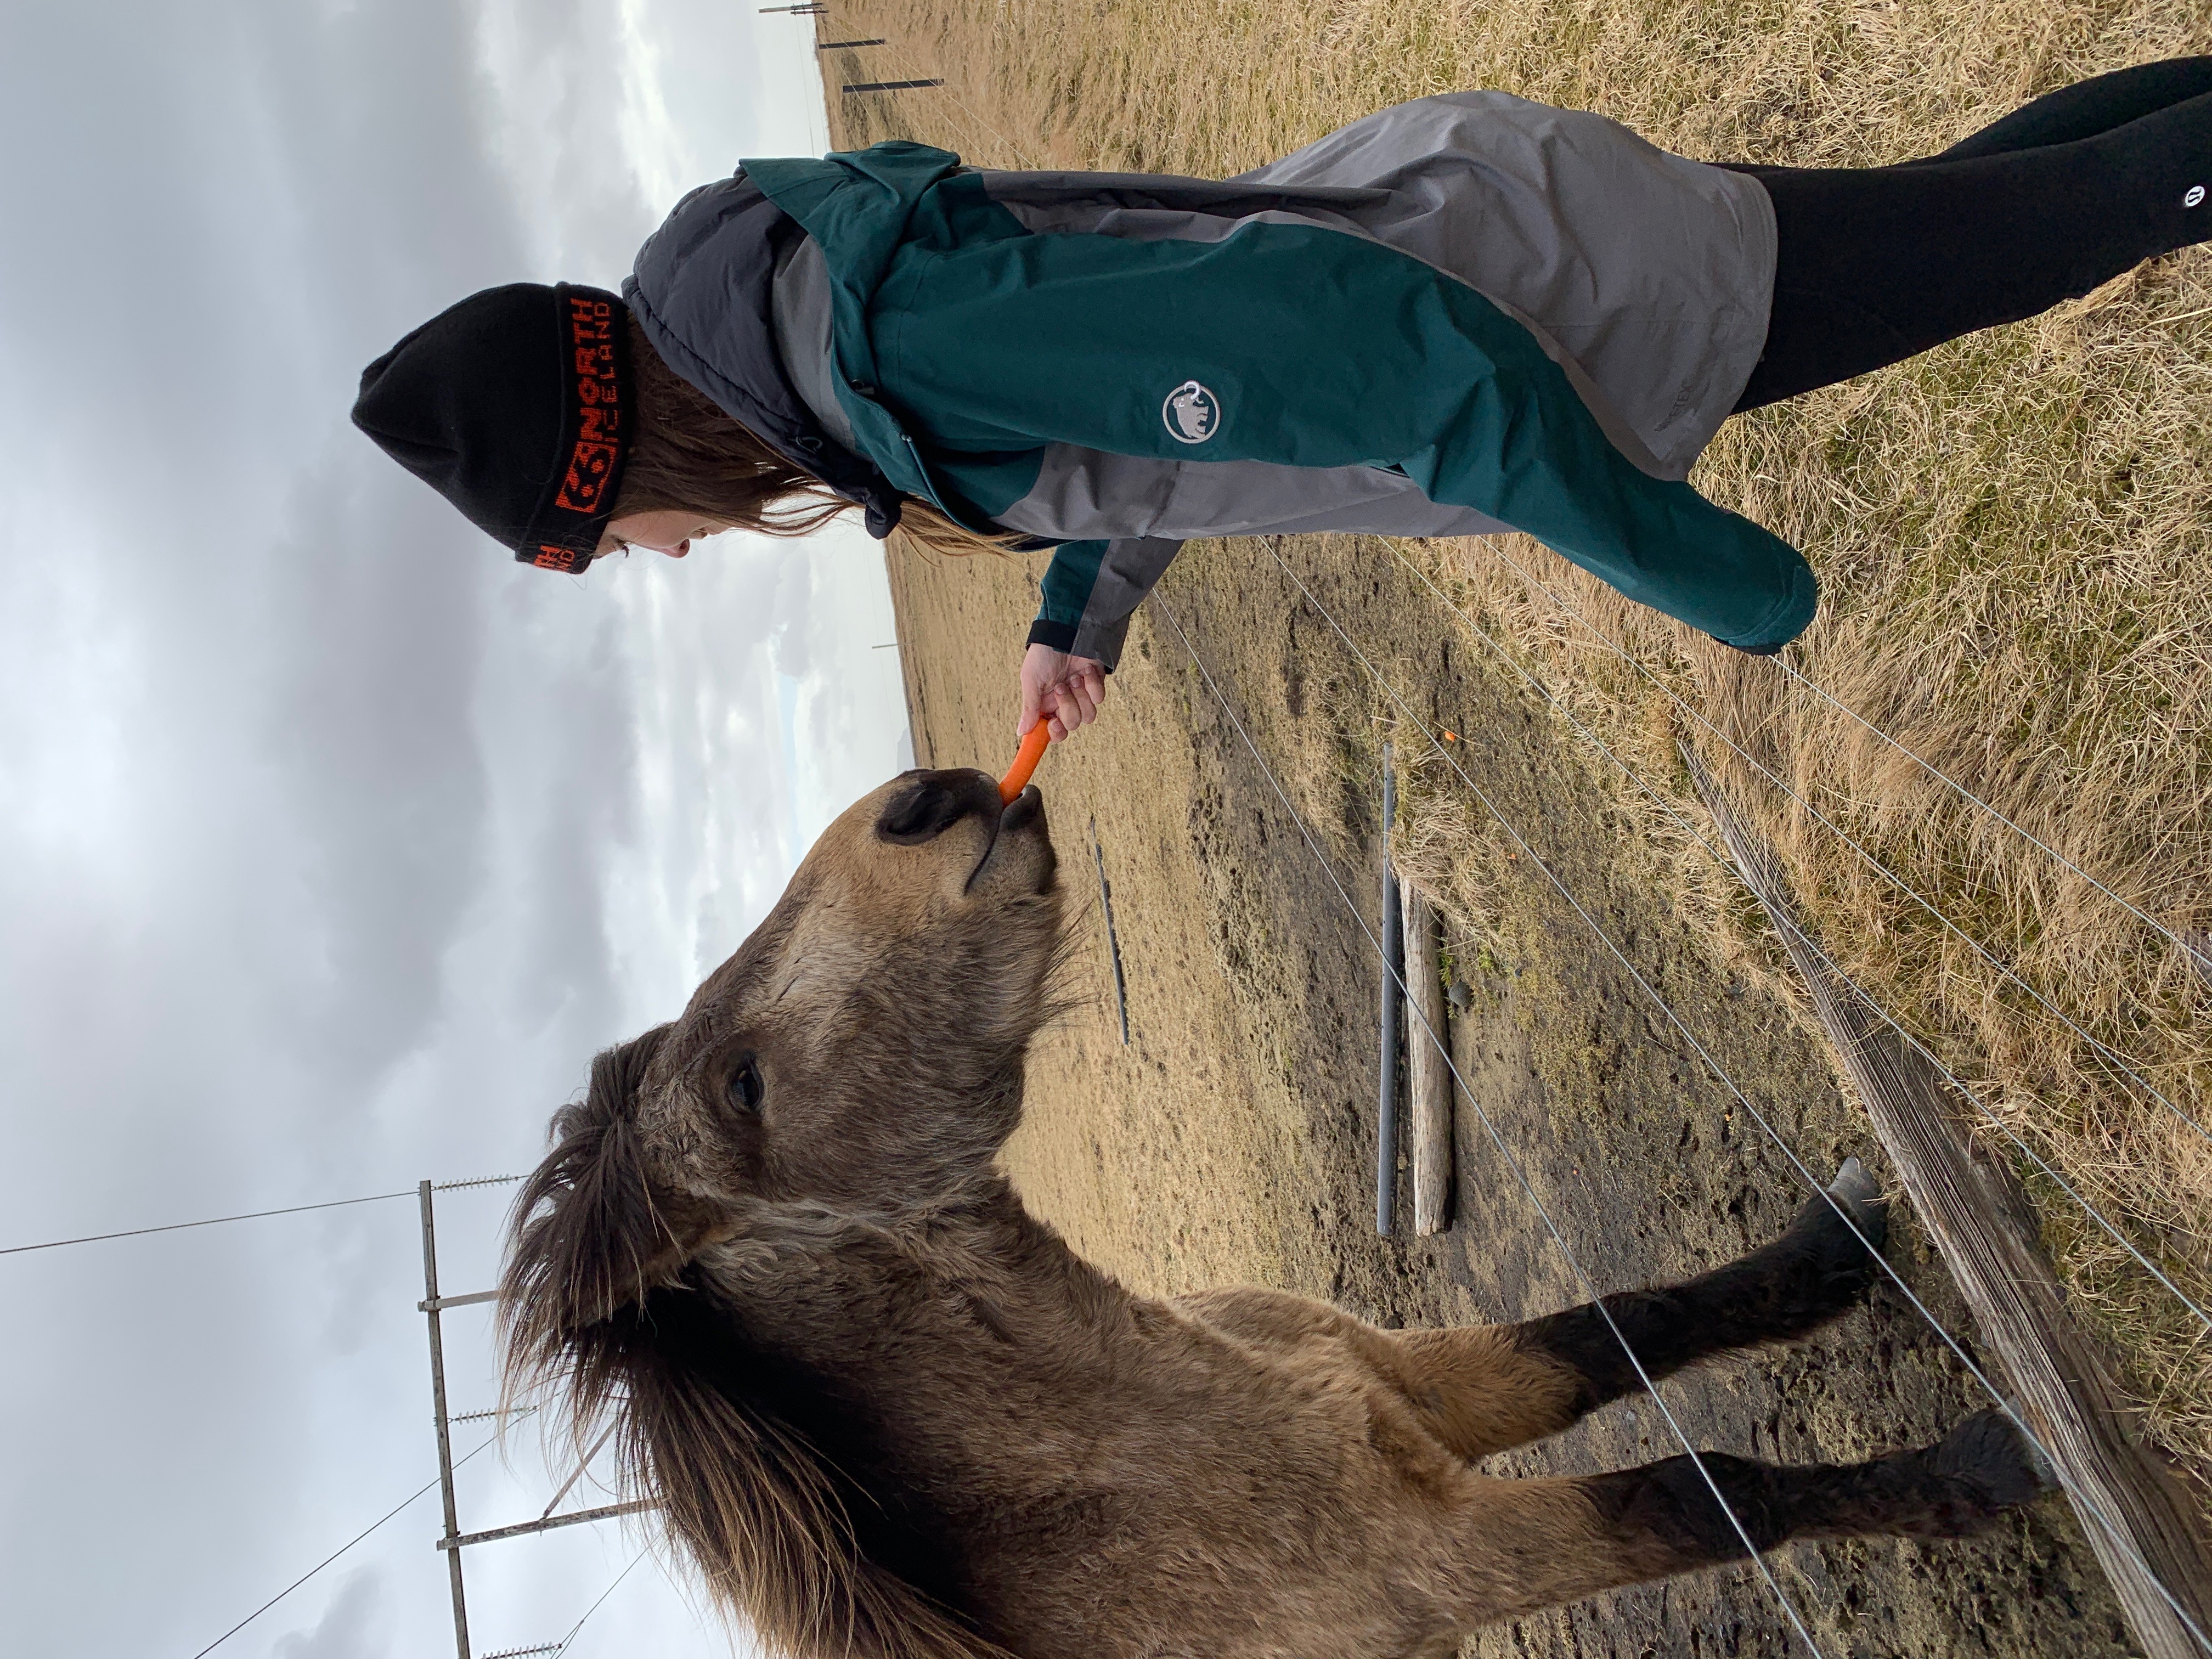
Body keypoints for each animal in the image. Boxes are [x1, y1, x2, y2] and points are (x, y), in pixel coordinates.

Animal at [500, 768, 2051, 1659]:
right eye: (743, 1085)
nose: (921, 803)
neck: (1145, 1450)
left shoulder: (1406, 1383)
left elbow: (1615, 1331)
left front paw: (1839, 1248)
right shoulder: (1450, 1561)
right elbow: (1701, 1489)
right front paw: (1984, 1471)